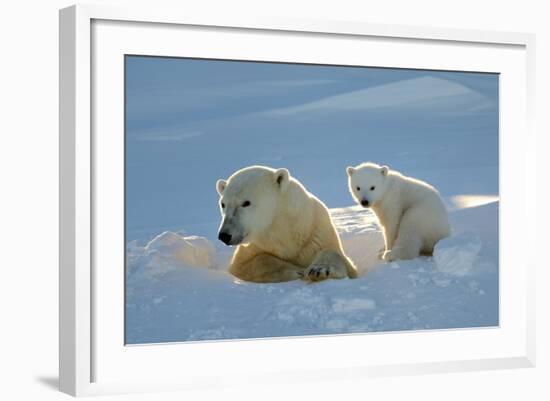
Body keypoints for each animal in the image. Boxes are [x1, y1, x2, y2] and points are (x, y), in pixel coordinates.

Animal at [216, 165, 358, 282]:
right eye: (223, 204)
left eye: (246, 202)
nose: (224, 235)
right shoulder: (254, 247)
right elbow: (249, 263)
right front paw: (297, 271)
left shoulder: (316, 233)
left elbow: (339, 257)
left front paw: (319, 270)